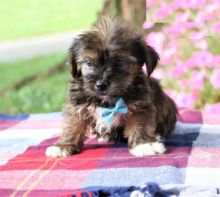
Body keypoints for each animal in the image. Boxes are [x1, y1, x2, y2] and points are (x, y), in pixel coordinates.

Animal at [46, 17, 177, 158]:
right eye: (89, 63)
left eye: (119, 62)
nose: (101, 85)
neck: (107, 101)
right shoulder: (76, 104)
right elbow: (73, 123)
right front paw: (64, 145)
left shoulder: (141, 105)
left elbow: (140, 124)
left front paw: (144, 144)